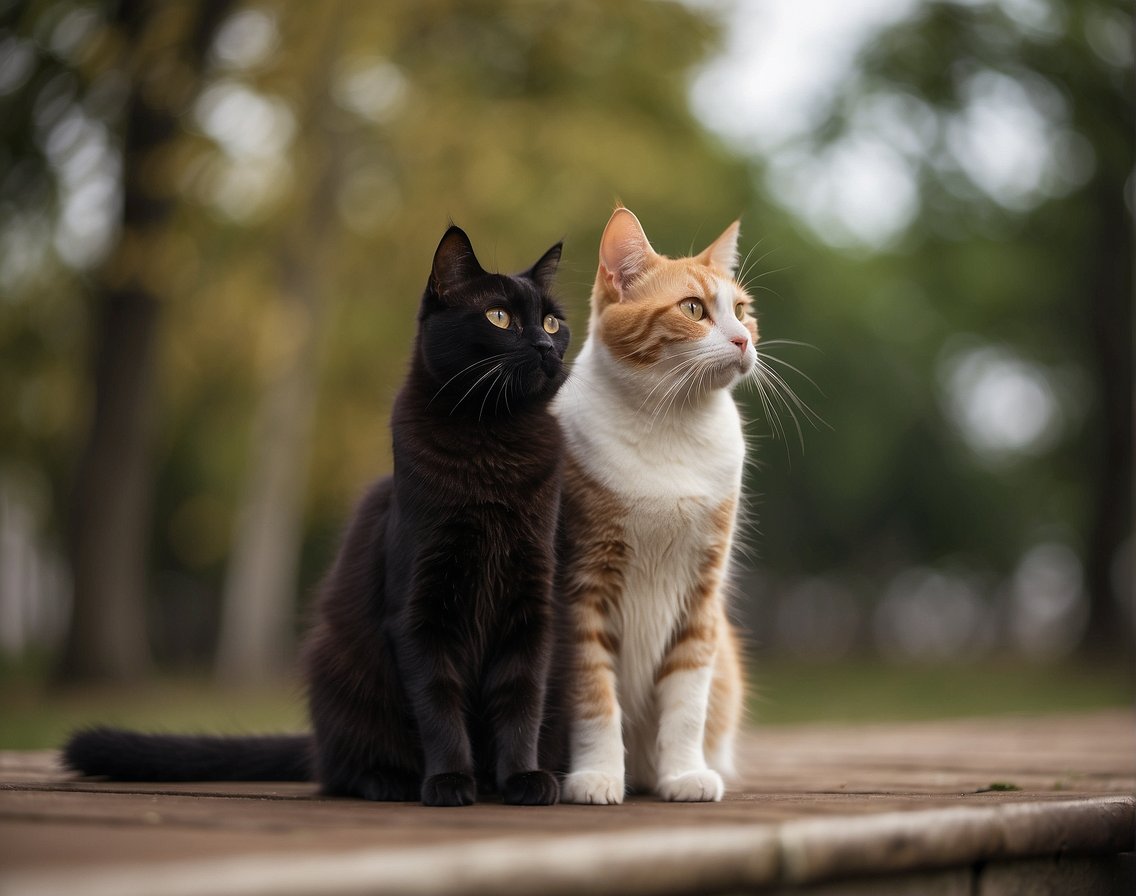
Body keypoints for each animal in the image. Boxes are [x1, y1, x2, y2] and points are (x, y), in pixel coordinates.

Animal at [65, 221, 572, 804]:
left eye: (553, 321)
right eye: (499, 317)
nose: (545, 346)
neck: (495, 442)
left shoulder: (531, 608)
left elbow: (521, 700)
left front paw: (522, 779)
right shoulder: (418, 610)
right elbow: (439, 704)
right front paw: (448, 781)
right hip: (336, 664)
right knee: (339, 767)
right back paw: (390, 780)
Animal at [552, 204, 754, 804]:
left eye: (741, 310)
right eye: (693, 309)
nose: (744, 340)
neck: (672, 425)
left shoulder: (700, 596)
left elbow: (687, 704)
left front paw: (684, 775)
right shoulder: (583, 593)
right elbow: (595, 697)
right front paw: (596, 776)